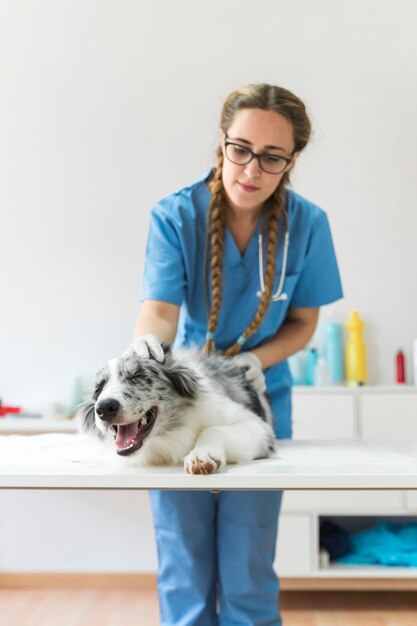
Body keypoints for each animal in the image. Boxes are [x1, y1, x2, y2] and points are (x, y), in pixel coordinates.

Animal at [76, 342, 274, 472]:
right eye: (99, 388)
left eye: (137, 375)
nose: (104, 408)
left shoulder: (257, 427)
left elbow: (213, 429)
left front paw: (202, 455)